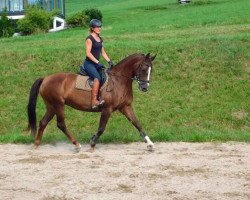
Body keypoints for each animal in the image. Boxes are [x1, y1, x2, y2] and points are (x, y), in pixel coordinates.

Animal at [27, 52, 156, 151]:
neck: (118, 80)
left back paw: (36, 144)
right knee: (61, 124)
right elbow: (101, 128)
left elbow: (137, 123)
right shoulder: (107, 109)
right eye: (144, 69)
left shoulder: (125, 107)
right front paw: (93, 142)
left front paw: (150, 144)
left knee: (43, 122)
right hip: (58, 105)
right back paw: (76, 144)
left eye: (151, 70)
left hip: (51, 106)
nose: (144, 88)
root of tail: (45, 79)